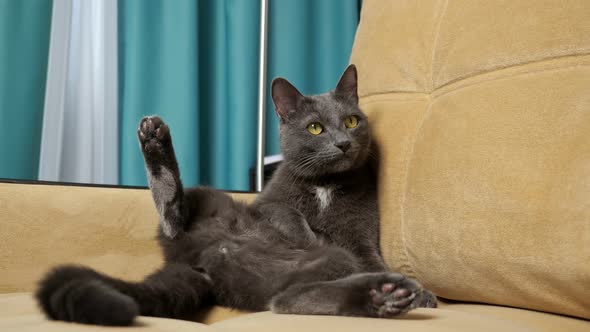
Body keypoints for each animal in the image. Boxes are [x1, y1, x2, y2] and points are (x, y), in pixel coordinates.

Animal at [35, 64, 434, 324]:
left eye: (351, 121)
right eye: (315, 128)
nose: (343, 143)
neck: (326, 186)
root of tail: (199, 262)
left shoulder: (362, 236)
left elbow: (371, 255)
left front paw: (425, 295)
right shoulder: (269, 200)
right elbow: (285, 212)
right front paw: (308, 233)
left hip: (304, 269)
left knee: (287, 299)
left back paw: (386, 295)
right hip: (209, 200)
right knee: (174, 217)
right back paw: (155, 142)